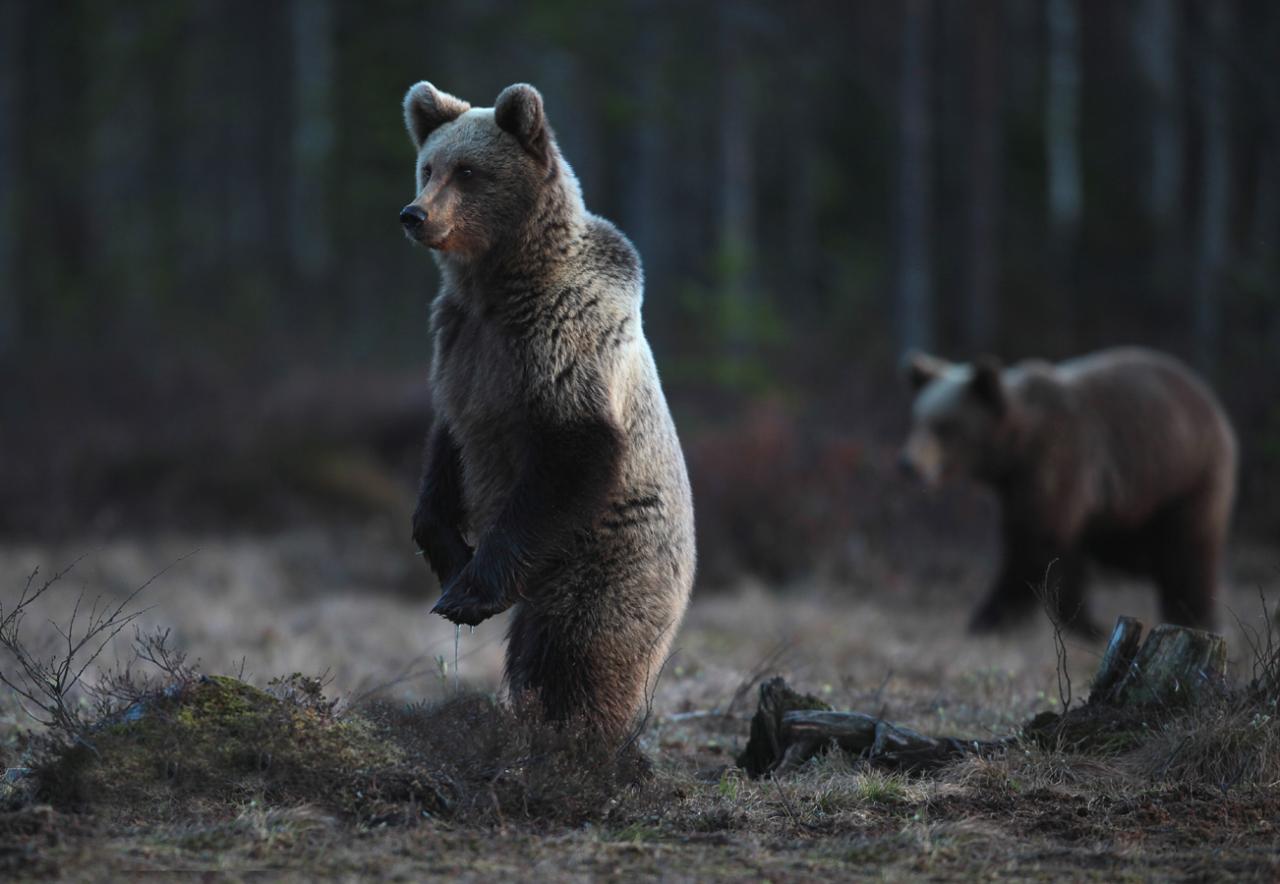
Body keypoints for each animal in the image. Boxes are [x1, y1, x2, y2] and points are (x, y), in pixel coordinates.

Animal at [401, 81, 696, 741]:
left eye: (469, 171)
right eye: (428, 166)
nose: (415, 214)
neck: (499, 285)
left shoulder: (562, 340)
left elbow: (573, 446)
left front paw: (469, 594)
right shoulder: (457, 346)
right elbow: (444, 450)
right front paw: (450, 560)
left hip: (607, 555)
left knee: (575, 650)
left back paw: (577, 739)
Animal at [896, 345, 1233, 637]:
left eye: (945, 426)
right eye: (918, 419)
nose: (908, 464)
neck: (1014, 449)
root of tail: (1213, 403)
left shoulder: (1058, 461)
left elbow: (1036, 542)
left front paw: (988, 617)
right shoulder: (1020, 488)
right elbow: (1055, 552)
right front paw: (1081, 622)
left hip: (1187, 475)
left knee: (1187, 551)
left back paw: (1193, 616)